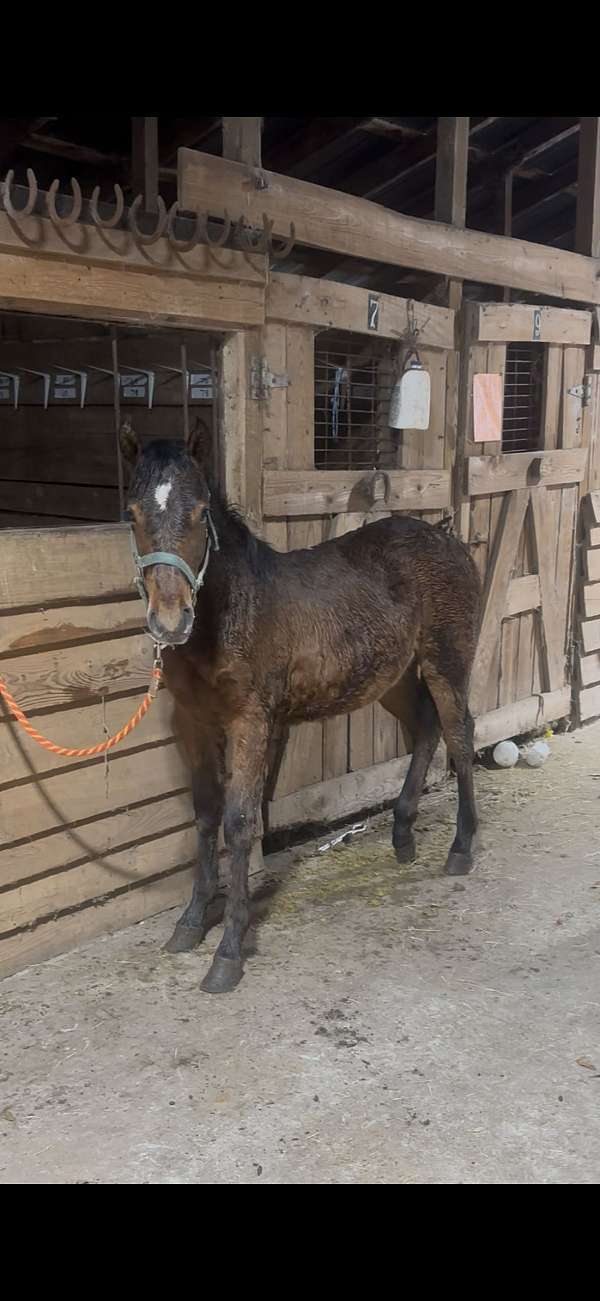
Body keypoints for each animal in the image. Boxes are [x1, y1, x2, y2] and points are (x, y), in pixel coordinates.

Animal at [120, 421, 482, 994]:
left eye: (199, 513)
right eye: (132, 515)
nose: (170, 621)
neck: (228, 613)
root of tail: (448, 537)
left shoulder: (251, 721)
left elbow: (239, 821)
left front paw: (228, 952)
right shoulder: (192, 722)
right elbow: (205, 812)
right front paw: (191, 923)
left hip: (447, 658)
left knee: (459, 733)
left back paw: (461, 848)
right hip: (392, 675)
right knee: (425, 727)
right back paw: (402, 835)